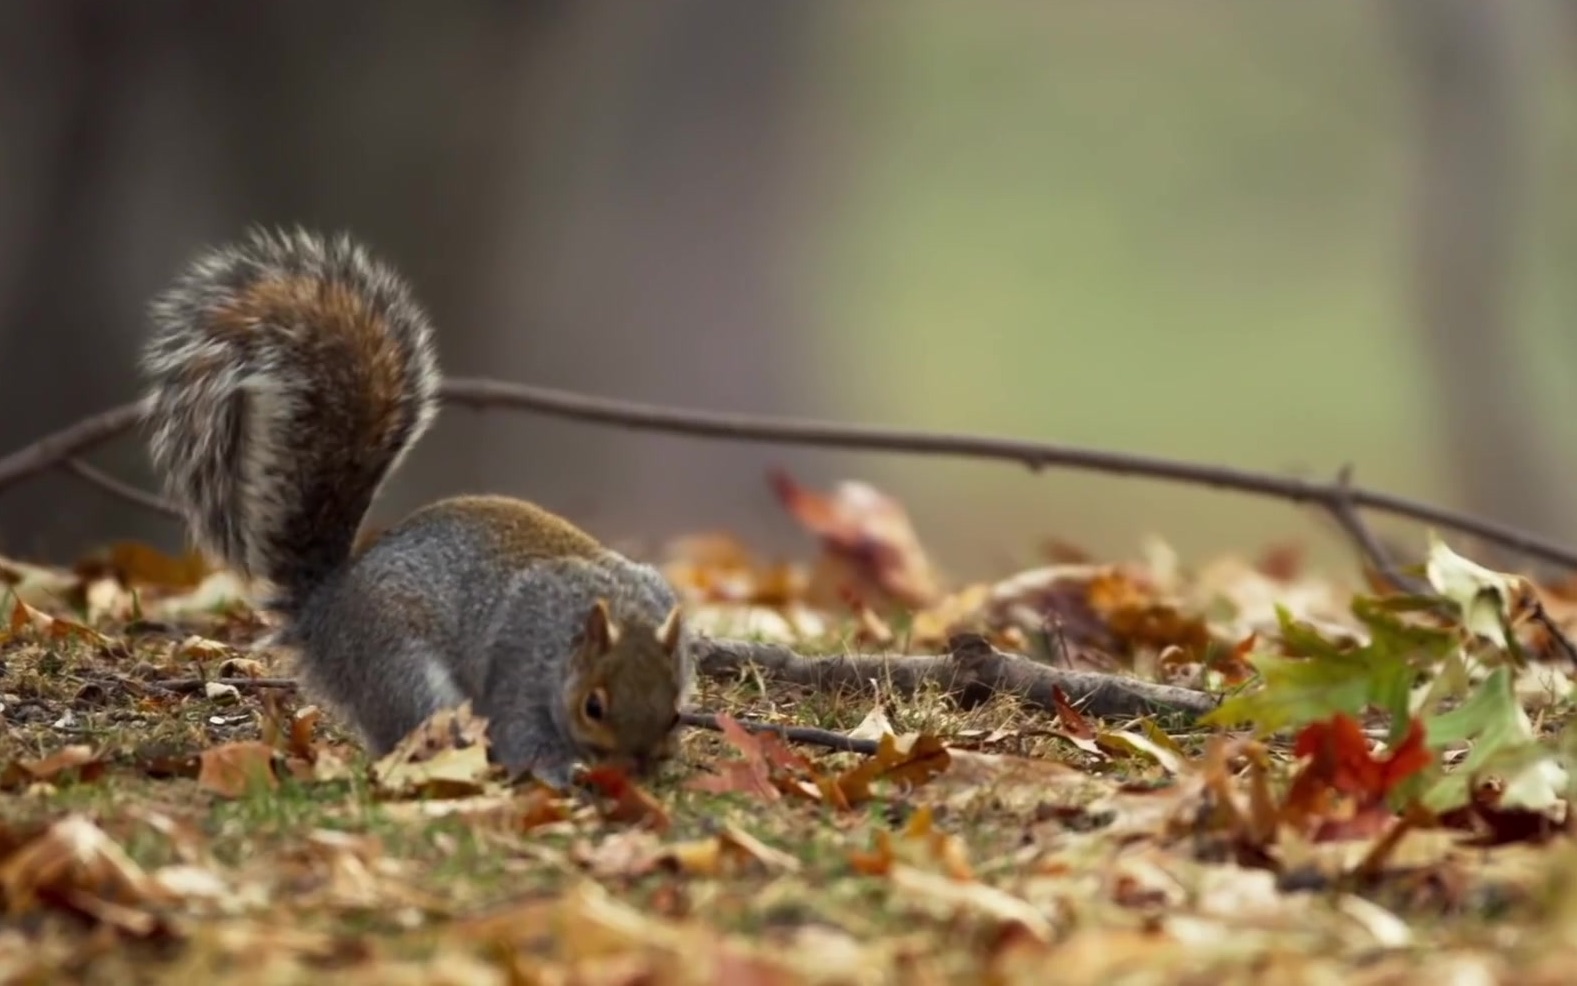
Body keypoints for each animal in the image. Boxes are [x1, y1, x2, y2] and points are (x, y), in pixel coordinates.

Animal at [138, 225, 693, 785]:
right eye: (592, 706)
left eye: (675, 713)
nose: (637, 768)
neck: (603, 617)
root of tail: (326, 612)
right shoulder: (518, 673)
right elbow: (524, 738)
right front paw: (563, 776)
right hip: (404, 672)